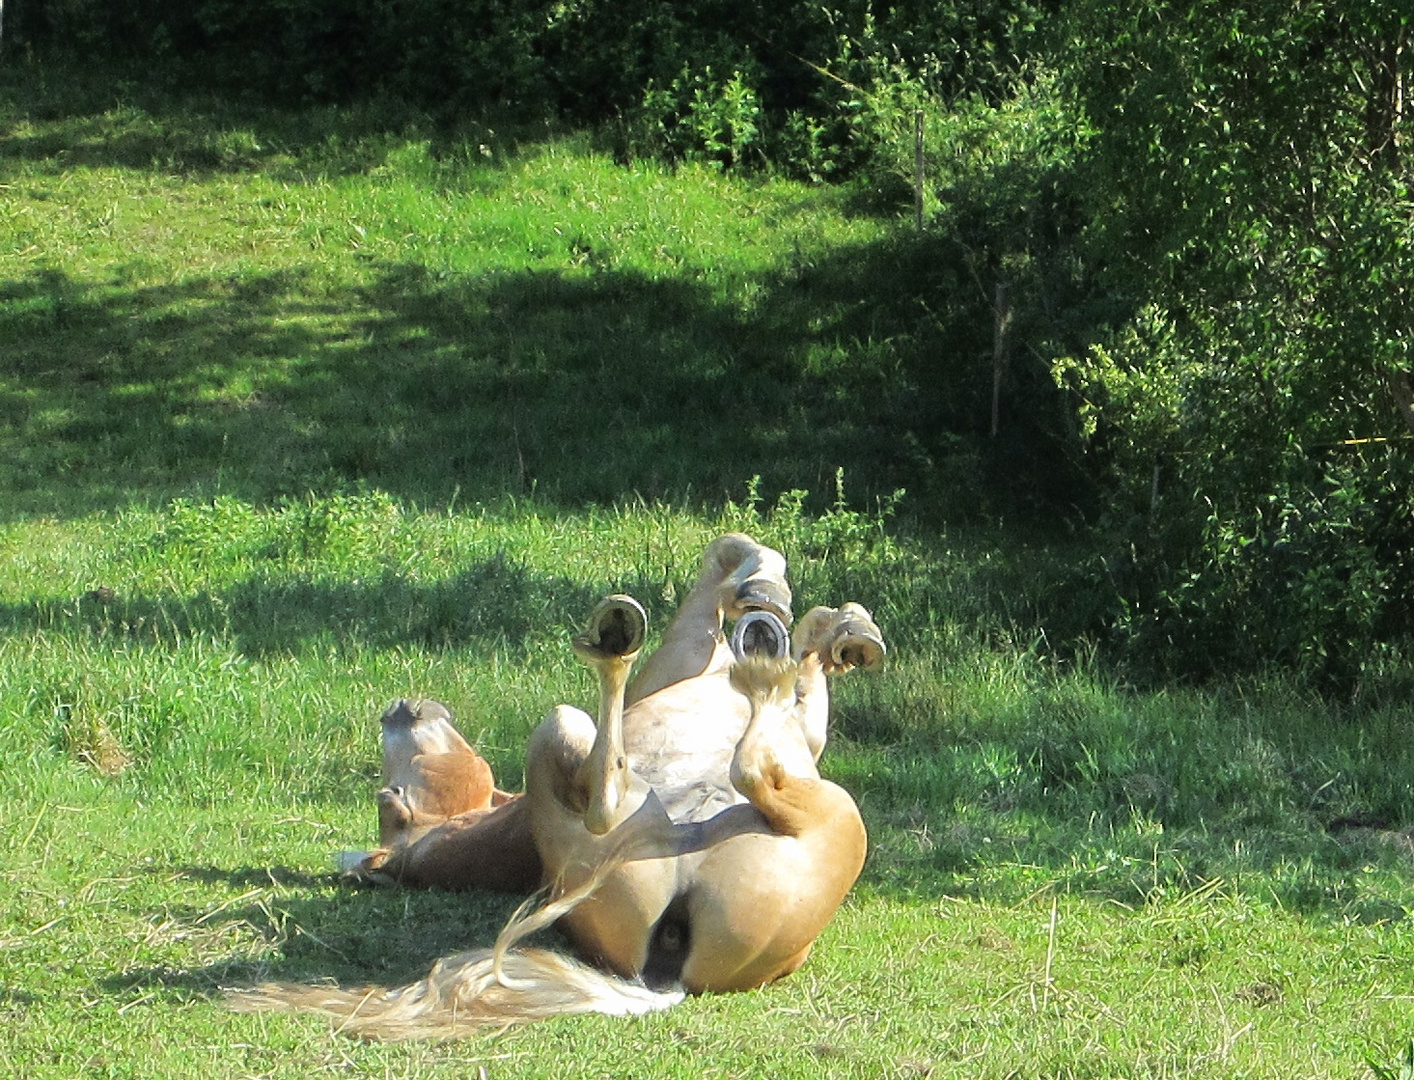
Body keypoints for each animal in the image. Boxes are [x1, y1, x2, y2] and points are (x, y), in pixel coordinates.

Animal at [237, 534, 887, 1040]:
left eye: (392, 805)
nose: (401, 709)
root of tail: (667, 977)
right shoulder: (697, 649)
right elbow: (729, 559)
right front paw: (778, 602)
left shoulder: (798, 725)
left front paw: (838, 630)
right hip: (814, 804)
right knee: (710, 774)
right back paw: (641, 647)